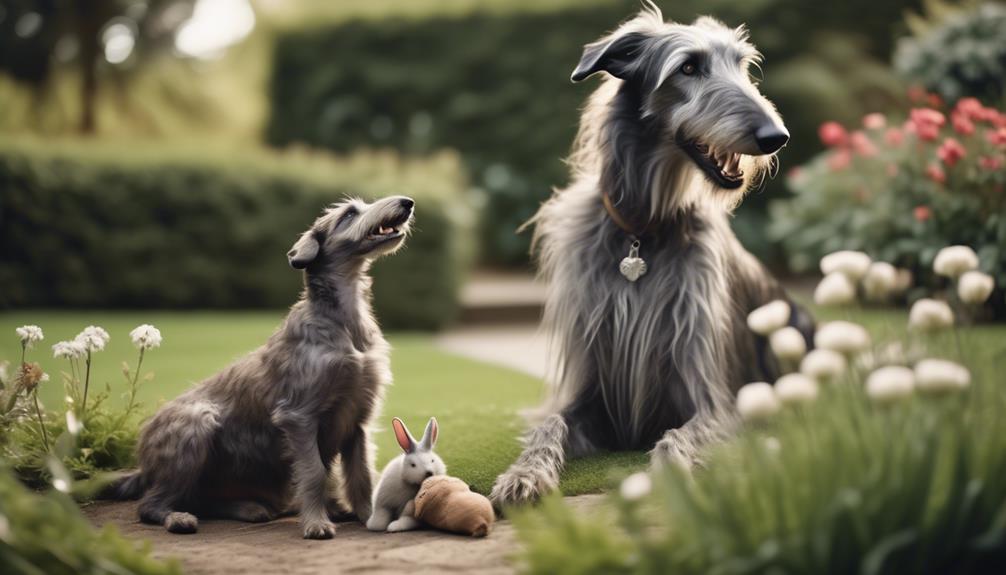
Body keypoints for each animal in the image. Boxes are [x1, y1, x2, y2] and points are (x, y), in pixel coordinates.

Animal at [113, 195, 416, 538]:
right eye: (349, 214)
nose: (407, 202)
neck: (344, 320)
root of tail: (143, 456)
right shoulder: (298, 417)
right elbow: (314, 472)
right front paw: (316, 523)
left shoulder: (358, 418)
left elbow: (362, 473)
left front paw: (367, 516)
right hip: (196, 424)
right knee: (150, 505)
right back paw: (178, 518)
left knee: (202, 500)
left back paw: (249, 508)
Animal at [490, 3, 812, 506]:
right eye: (688, 68)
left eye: (741, 66)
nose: (776, 136)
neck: (642, 231)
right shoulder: (591, 390)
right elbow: (551, 422)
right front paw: (523, 474)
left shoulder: (713, 400)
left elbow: (680, 434)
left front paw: (671, 476)